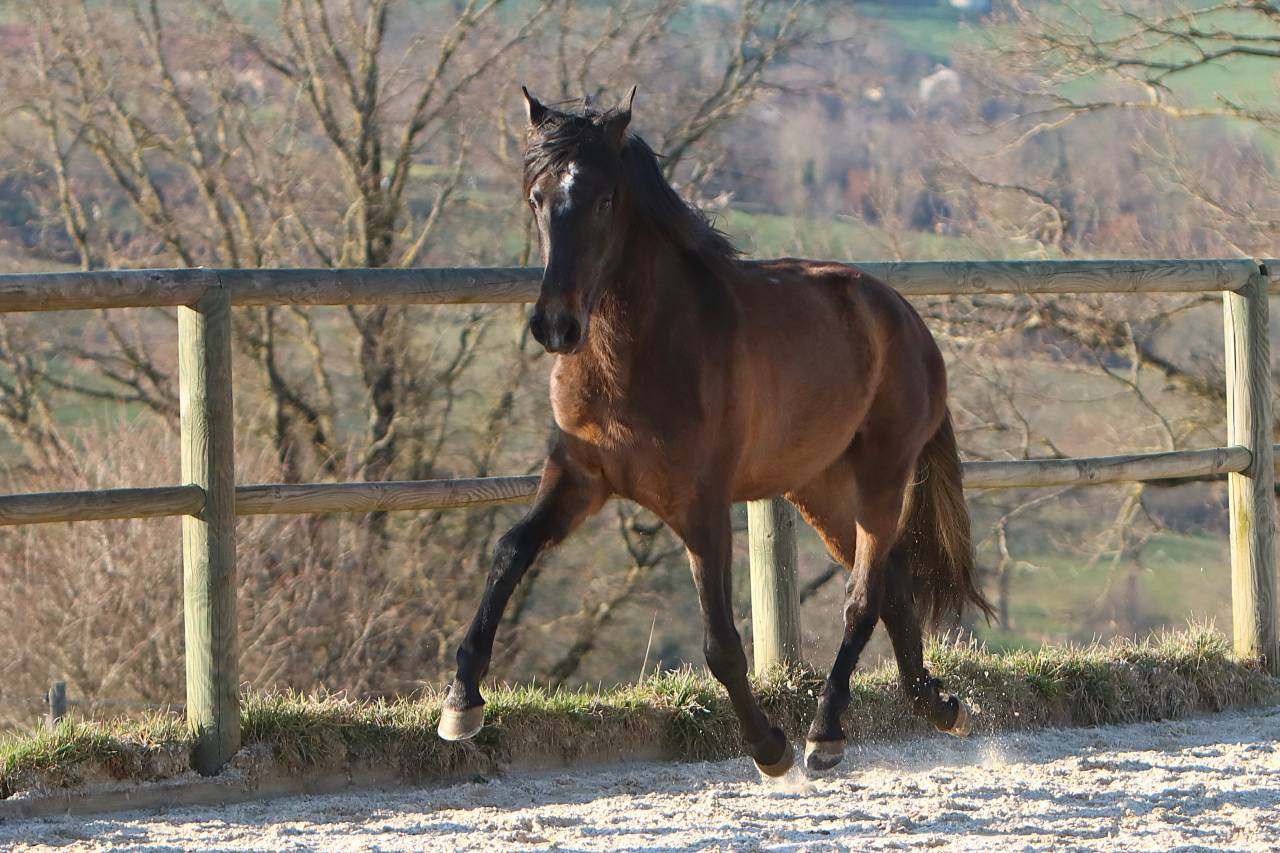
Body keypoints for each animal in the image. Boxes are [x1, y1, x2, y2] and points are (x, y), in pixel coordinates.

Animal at [437, 86, 993, 777]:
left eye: (602, 199)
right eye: (536, 198)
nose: (555, 326)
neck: (642, 354)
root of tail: (905, 317)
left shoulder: (700, 507)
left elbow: (722, 644)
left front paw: (770, 748)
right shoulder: (579, 477)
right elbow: (511, 550)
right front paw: (461, 703)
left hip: (883, 476)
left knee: (863, 597)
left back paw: (825, 734)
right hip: (819, 487)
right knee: (891, 582)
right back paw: (937, 704)